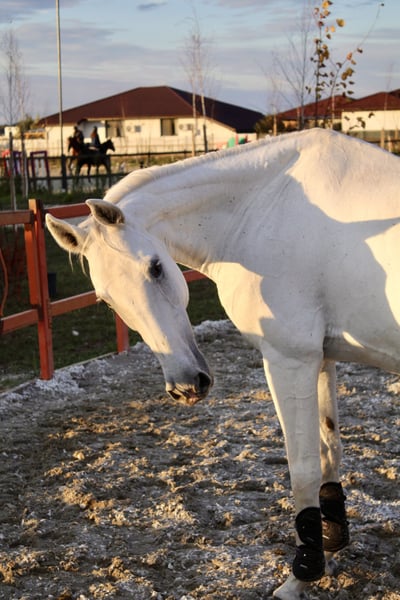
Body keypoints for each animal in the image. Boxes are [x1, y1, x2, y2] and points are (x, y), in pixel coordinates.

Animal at [46, 128, 400, 600]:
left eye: (155, 268)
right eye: (105, 299)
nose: (185, 385)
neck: (266, 206)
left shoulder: (289, 360)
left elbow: (303, 468)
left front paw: (301, 574)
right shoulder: (320, 358)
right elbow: (329, 450)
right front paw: (331, 547)